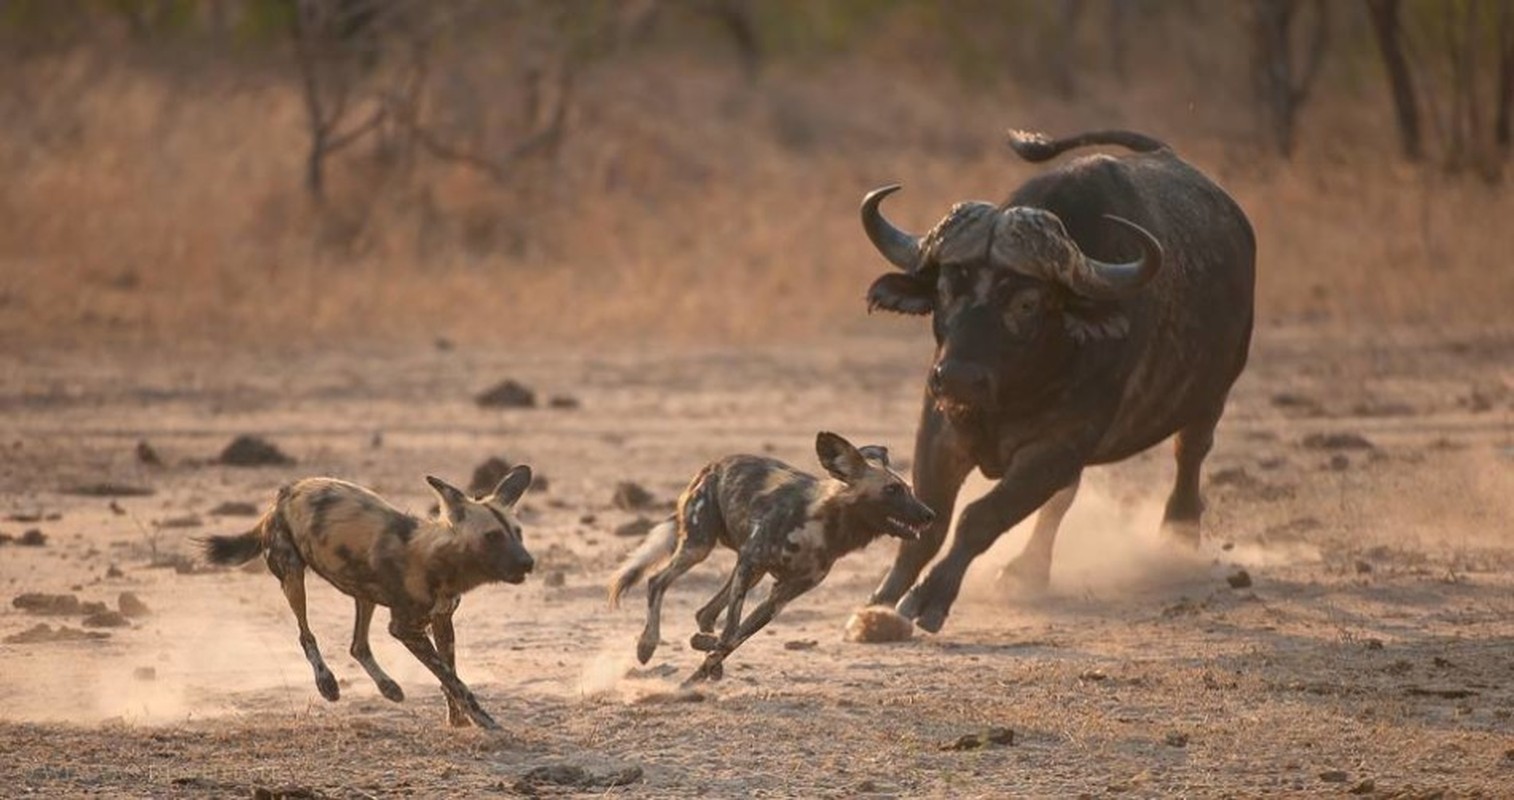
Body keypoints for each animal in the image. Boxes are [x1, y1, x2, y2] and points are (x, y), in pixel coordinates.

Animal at [198, 469, 535, 730]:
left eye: (518, 533)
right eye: (492, 536)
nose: (528, 562)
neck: (437, 560)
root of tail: (286, 492)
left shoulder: (441, 620)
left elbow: (450, 675)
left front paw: (458, 720)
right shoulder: (406, 630)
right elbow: (454, 681)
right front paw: (483, 720)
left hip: (363, 594)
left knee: (357, 645)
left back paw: (388, 687)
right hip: (293, 576)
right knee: (306, 634)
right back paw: (327, 683)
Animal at [608, 430, 926, 681]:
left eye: (909, 490)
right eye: (892, 490)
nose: (930, 514)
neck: (823, 529)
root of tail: (713, 465)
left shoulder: (779, 597)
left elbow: (733, 639)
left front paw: (700, 670)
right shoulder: (751, 561)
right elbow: (730, 633)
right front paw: (701, 657)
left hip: (746, 571)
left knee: (705, 612)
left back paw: (708, 660)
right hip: (700, 547)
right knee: (657, 582)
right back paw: (647, 645)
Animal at [859, 129, 1259, 630]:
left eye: (1027, 303)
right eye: (946, 289)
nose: (958, 379)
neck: (1013, 391)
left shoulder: (1059, 445)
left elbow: (981, 517)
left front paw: (929, 597)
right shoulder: (941, 426)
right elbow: (929, 521)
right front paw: (879, 602)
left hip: (1213, 394)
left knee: (1190, 452)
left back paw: (1177, 536)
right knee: (1064, 499)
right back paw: (1028, 569)